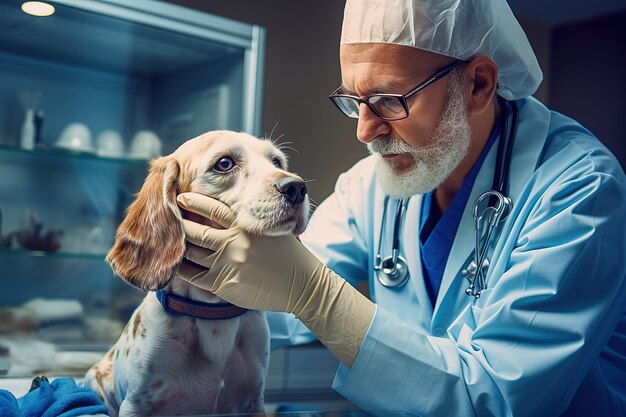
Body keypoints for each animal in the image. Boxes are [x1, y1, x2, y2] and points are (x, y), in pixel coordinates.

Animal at [83, 129, 308, 412]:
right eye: (224, 163)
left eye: (277, 162)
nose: (297, 187)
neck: (212, 314)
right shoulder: (136, 403)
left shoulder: (253, 401)